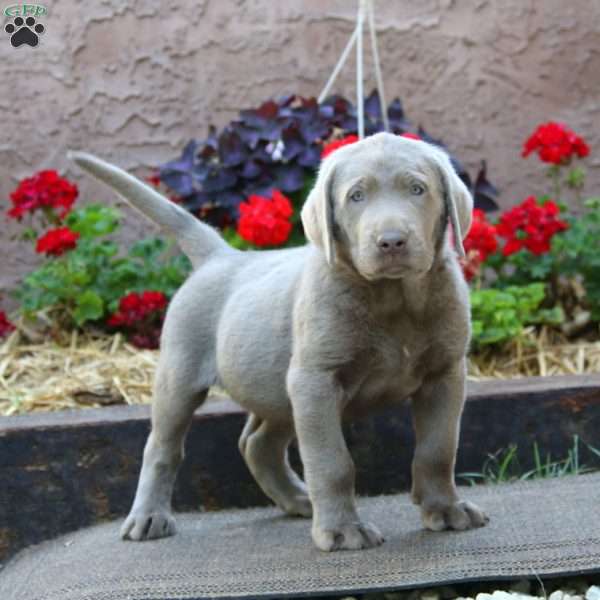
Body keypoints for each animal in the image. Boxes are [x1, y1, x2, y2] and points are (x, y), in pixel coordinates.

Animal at [69, 132, 488, 552]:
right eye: (356, 196)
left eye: (418, 189)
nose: (392, 242)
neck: (394, 297)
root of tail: (221, 256)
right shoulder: (316, 381)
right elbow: (332, 461)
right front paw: (342, 530)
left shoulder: (445, 374)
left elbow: (438, 448)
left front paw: (446, 510)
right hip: (181, 374)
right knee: (162, 446)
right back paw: (148, 517)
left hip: (275, 385)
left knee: (258, 444)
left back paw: (299, 499)